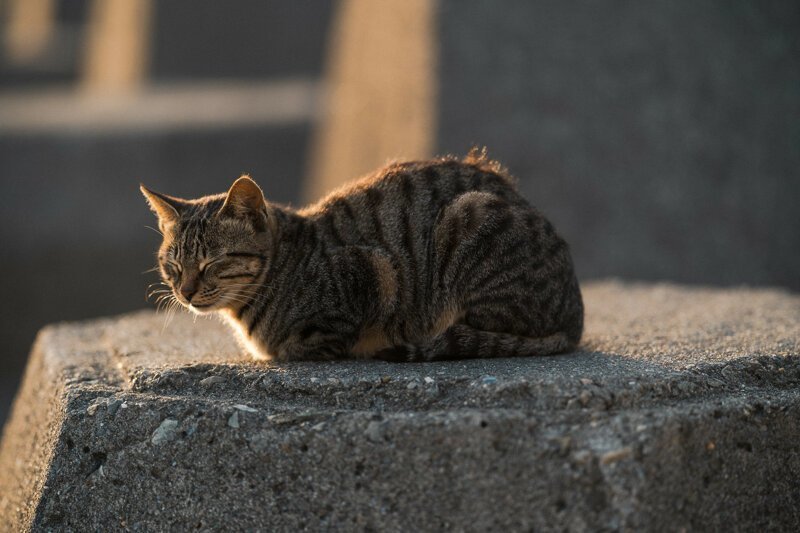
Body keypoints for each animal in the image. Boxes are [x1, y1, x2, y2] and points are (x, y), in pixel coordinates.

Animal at [141, 150, 584, 362]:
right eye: (173, 266)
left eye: (212, 263)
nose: (185, 292)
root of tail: (575, 317)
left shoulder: (375, 272)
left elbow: (304, 345)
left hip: (469, 217)